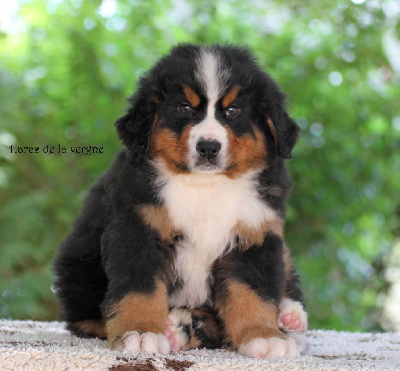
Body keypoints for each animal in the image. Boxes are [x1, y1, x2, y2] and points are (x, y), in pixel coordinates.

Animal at [53, 44, 308, 360]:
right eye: (185, 108)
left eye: (233, 110)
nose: (208, 147)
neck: (205, 186)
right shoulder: (138, 229)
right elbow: (138, 288)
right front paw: (141, 332)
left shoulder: (255, 234)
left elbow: (254, 293)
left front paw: (264, 335)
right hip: (79, 265)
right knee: (86, 319)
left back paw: (288, 317)